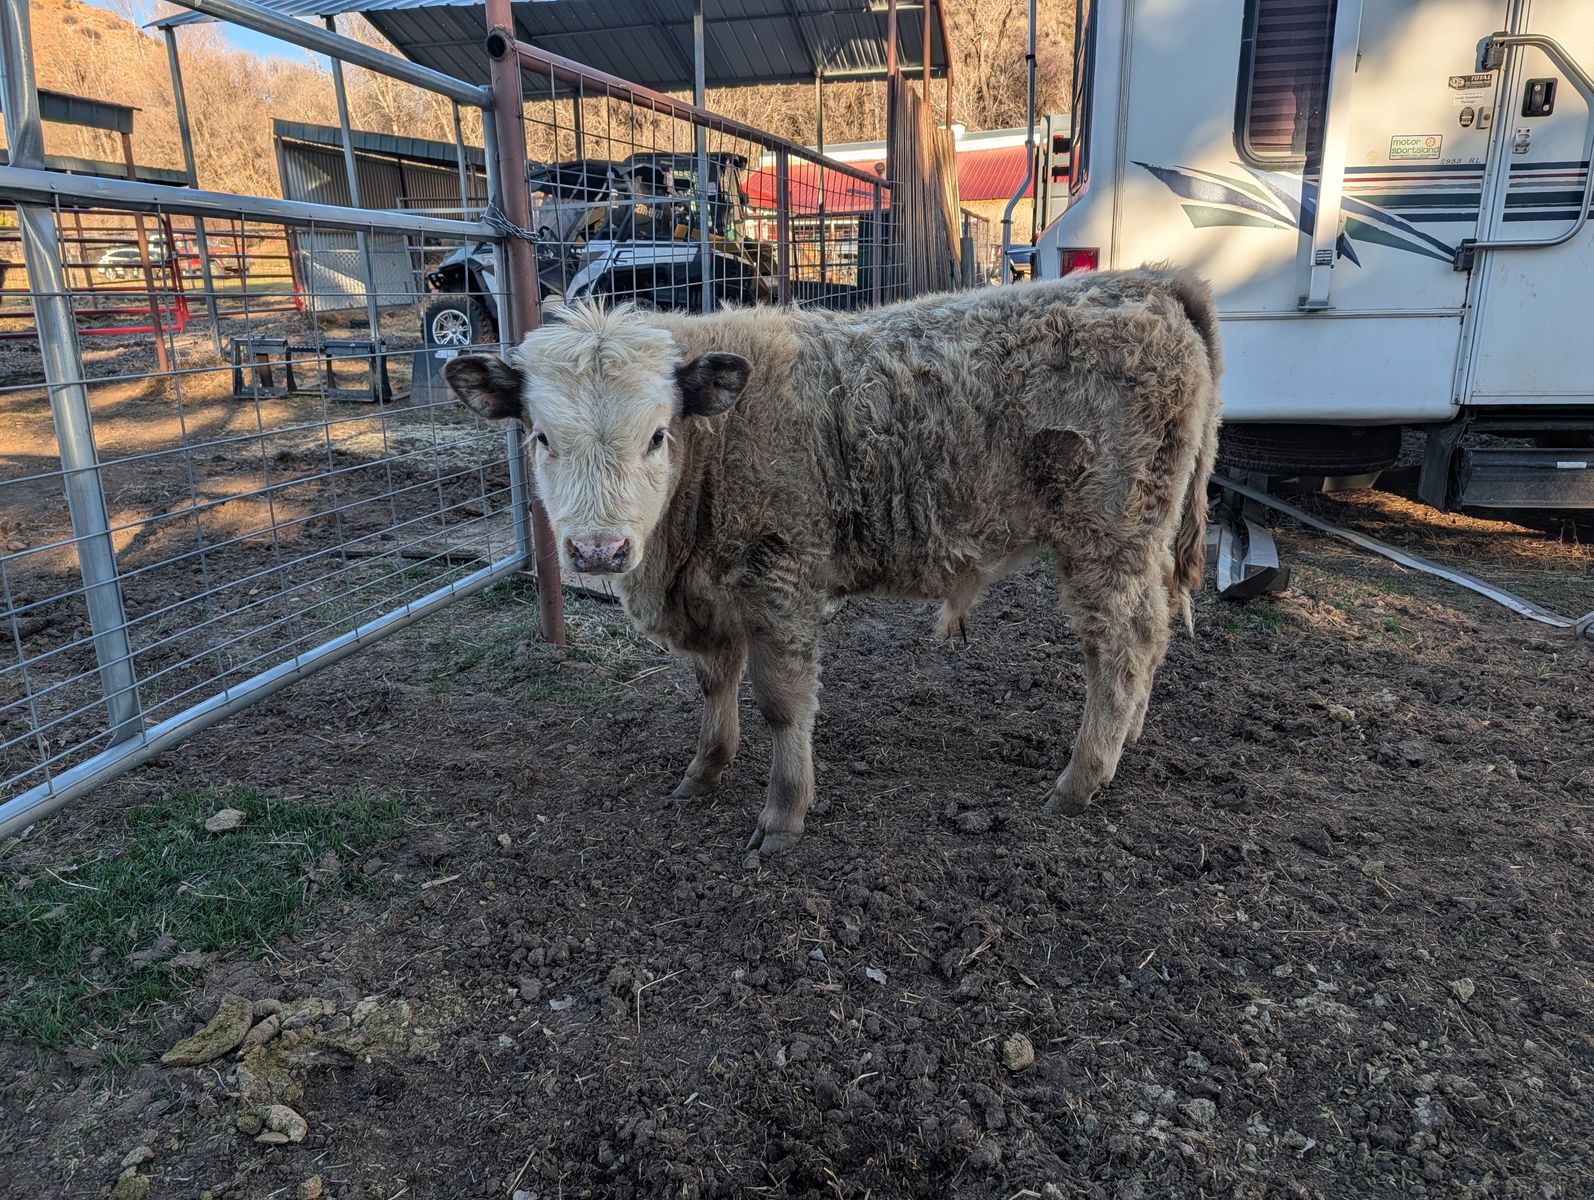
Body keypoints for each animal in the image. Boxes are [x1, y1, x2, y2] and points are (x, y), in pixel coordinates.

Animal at [444, 267, 1222, 853]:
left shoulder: (782, 580)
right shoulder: (711, 596)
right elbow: (714, 685)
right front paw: (705, 772)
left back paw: (1080, 779)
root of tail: (1149, 281)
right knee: (1149, 637)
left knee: (1122, 646)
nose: (598, 549)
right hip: (1136, 545)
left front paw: (784, 815)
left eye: (658, 434)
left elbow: (782, 703)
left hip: (1108, 540)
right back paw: (1124, 741)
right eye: (541, 436)